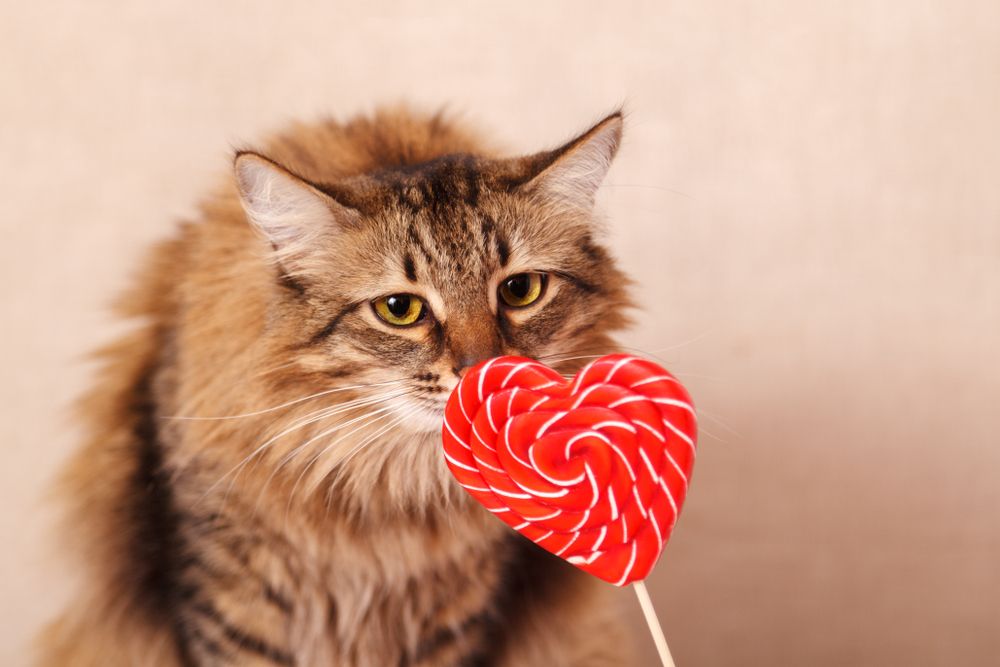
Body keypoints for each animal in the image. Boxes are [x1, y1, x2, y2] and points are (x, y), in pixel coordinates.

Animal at [39, 107, 636, 664]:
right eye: (400, 308)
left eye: (520, 289)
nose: (481, 368)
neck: (390, 492)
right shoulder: (231, 603)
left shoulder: (457, 616)